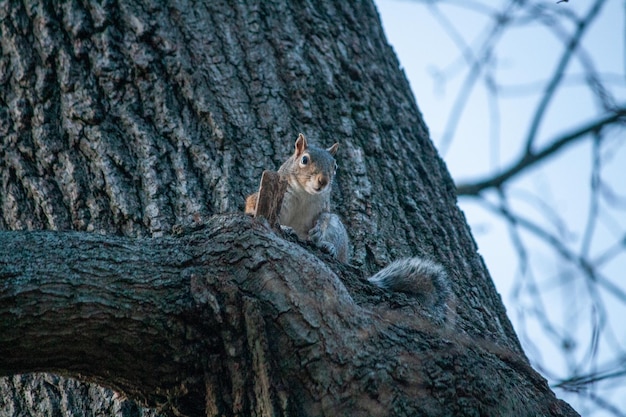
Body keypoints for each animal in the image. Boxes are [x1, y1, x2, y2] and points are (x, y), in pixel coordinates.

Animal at [243, 133, 448, 318]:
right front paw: (283, 227)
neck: (305, 193)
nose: (323, 181)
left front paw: (318, 231)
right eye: (304, 160)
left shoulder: (324, 208)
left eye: (335, 166)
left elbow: (324, 218)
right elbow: (252, 205)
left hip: (338, 229)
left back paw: (327, 246)